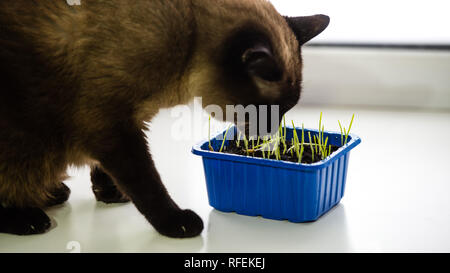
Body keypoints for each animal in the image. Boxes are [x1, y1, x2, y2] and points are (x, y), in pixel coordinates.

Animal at [0, 0, 330, 237]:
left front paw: (111, 194)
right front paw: (176, 223)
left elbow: (104, 170)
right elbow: (147, 183)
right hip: (22, 137)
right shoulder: (111, 126)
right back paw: (28, 219)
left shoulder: (123, 123)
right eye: (270, 110)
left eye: (287, 109)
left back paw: (51, 193)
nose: (272, 133)